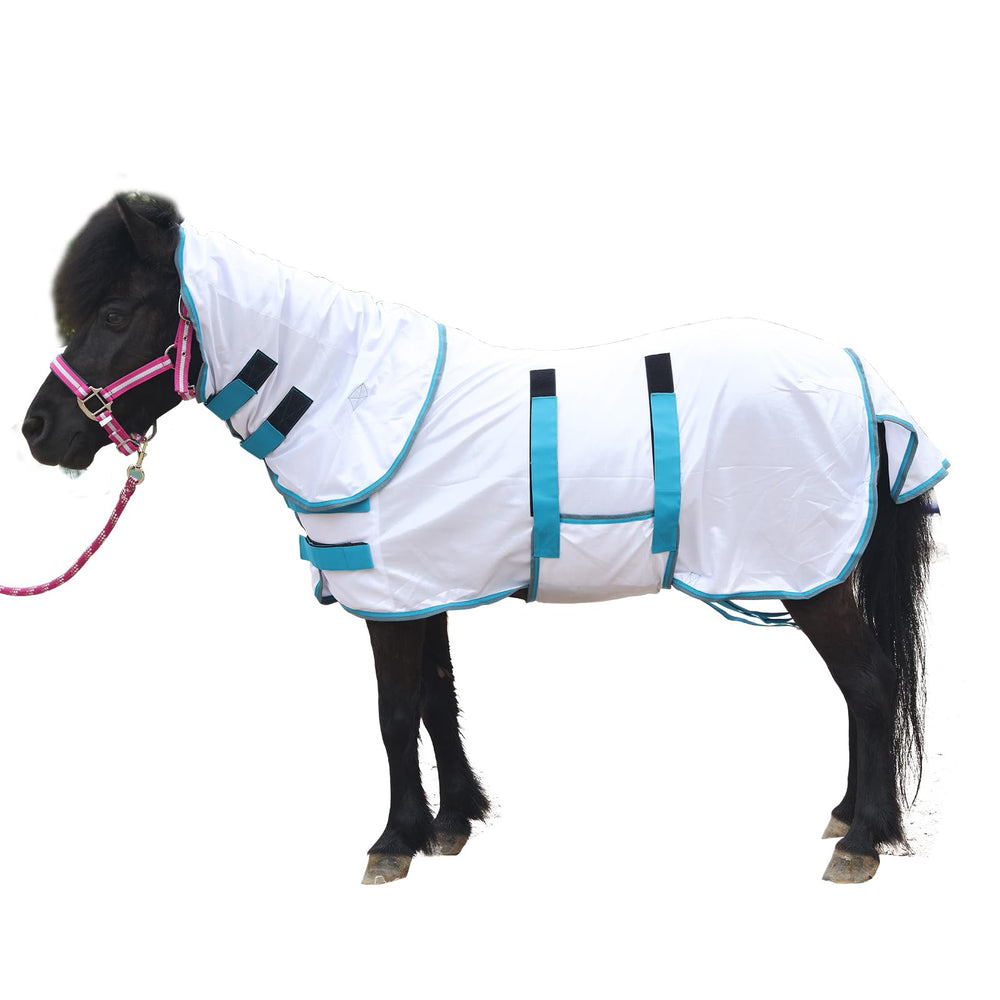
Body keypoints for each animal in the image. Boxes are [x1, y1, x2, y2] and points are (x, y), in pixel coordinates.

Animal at [20, 193, 946, 884]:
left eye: (114, 311)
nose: (38, 430)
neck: (348, 397)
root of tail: (859, 379)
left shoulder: (388, 600)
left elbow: (395, 713)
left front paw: (394, 841)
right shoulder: (421, 588)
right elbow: (438, 700)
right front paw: (455, 821)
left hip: (810, 575)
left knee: (869, 683)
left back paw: (863, 839)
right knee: (861, 689)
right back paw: (847, 816)